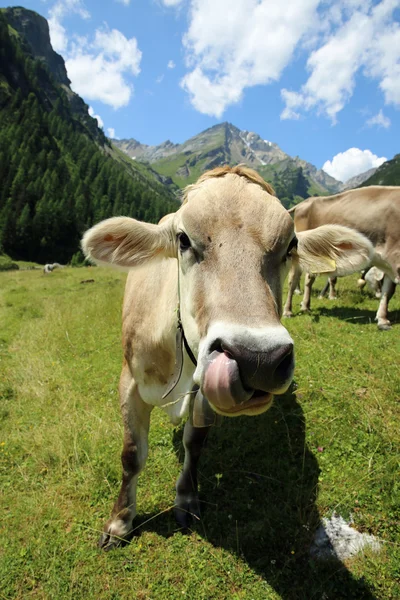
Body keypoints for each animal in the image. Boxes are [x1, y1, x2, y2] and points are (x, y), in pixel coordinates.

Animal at [82, 164, 378, 548]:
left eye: (291, 246)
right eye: (182, 239)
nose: (259, 360)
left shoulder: (204, 393)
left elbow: (194, 444)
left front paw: (187, 500)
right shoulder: (129, 381)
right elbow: (132, 455)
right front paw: (119, 522)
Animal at [282, 186, 398, 330]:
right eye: (378, 281)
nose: (377, 295)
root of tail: (302, 204)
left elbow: (389, 291)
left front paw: (383, 319)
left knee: (309, 279)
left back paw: (306, 306)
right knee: (293, 280)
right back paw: (288, 310)